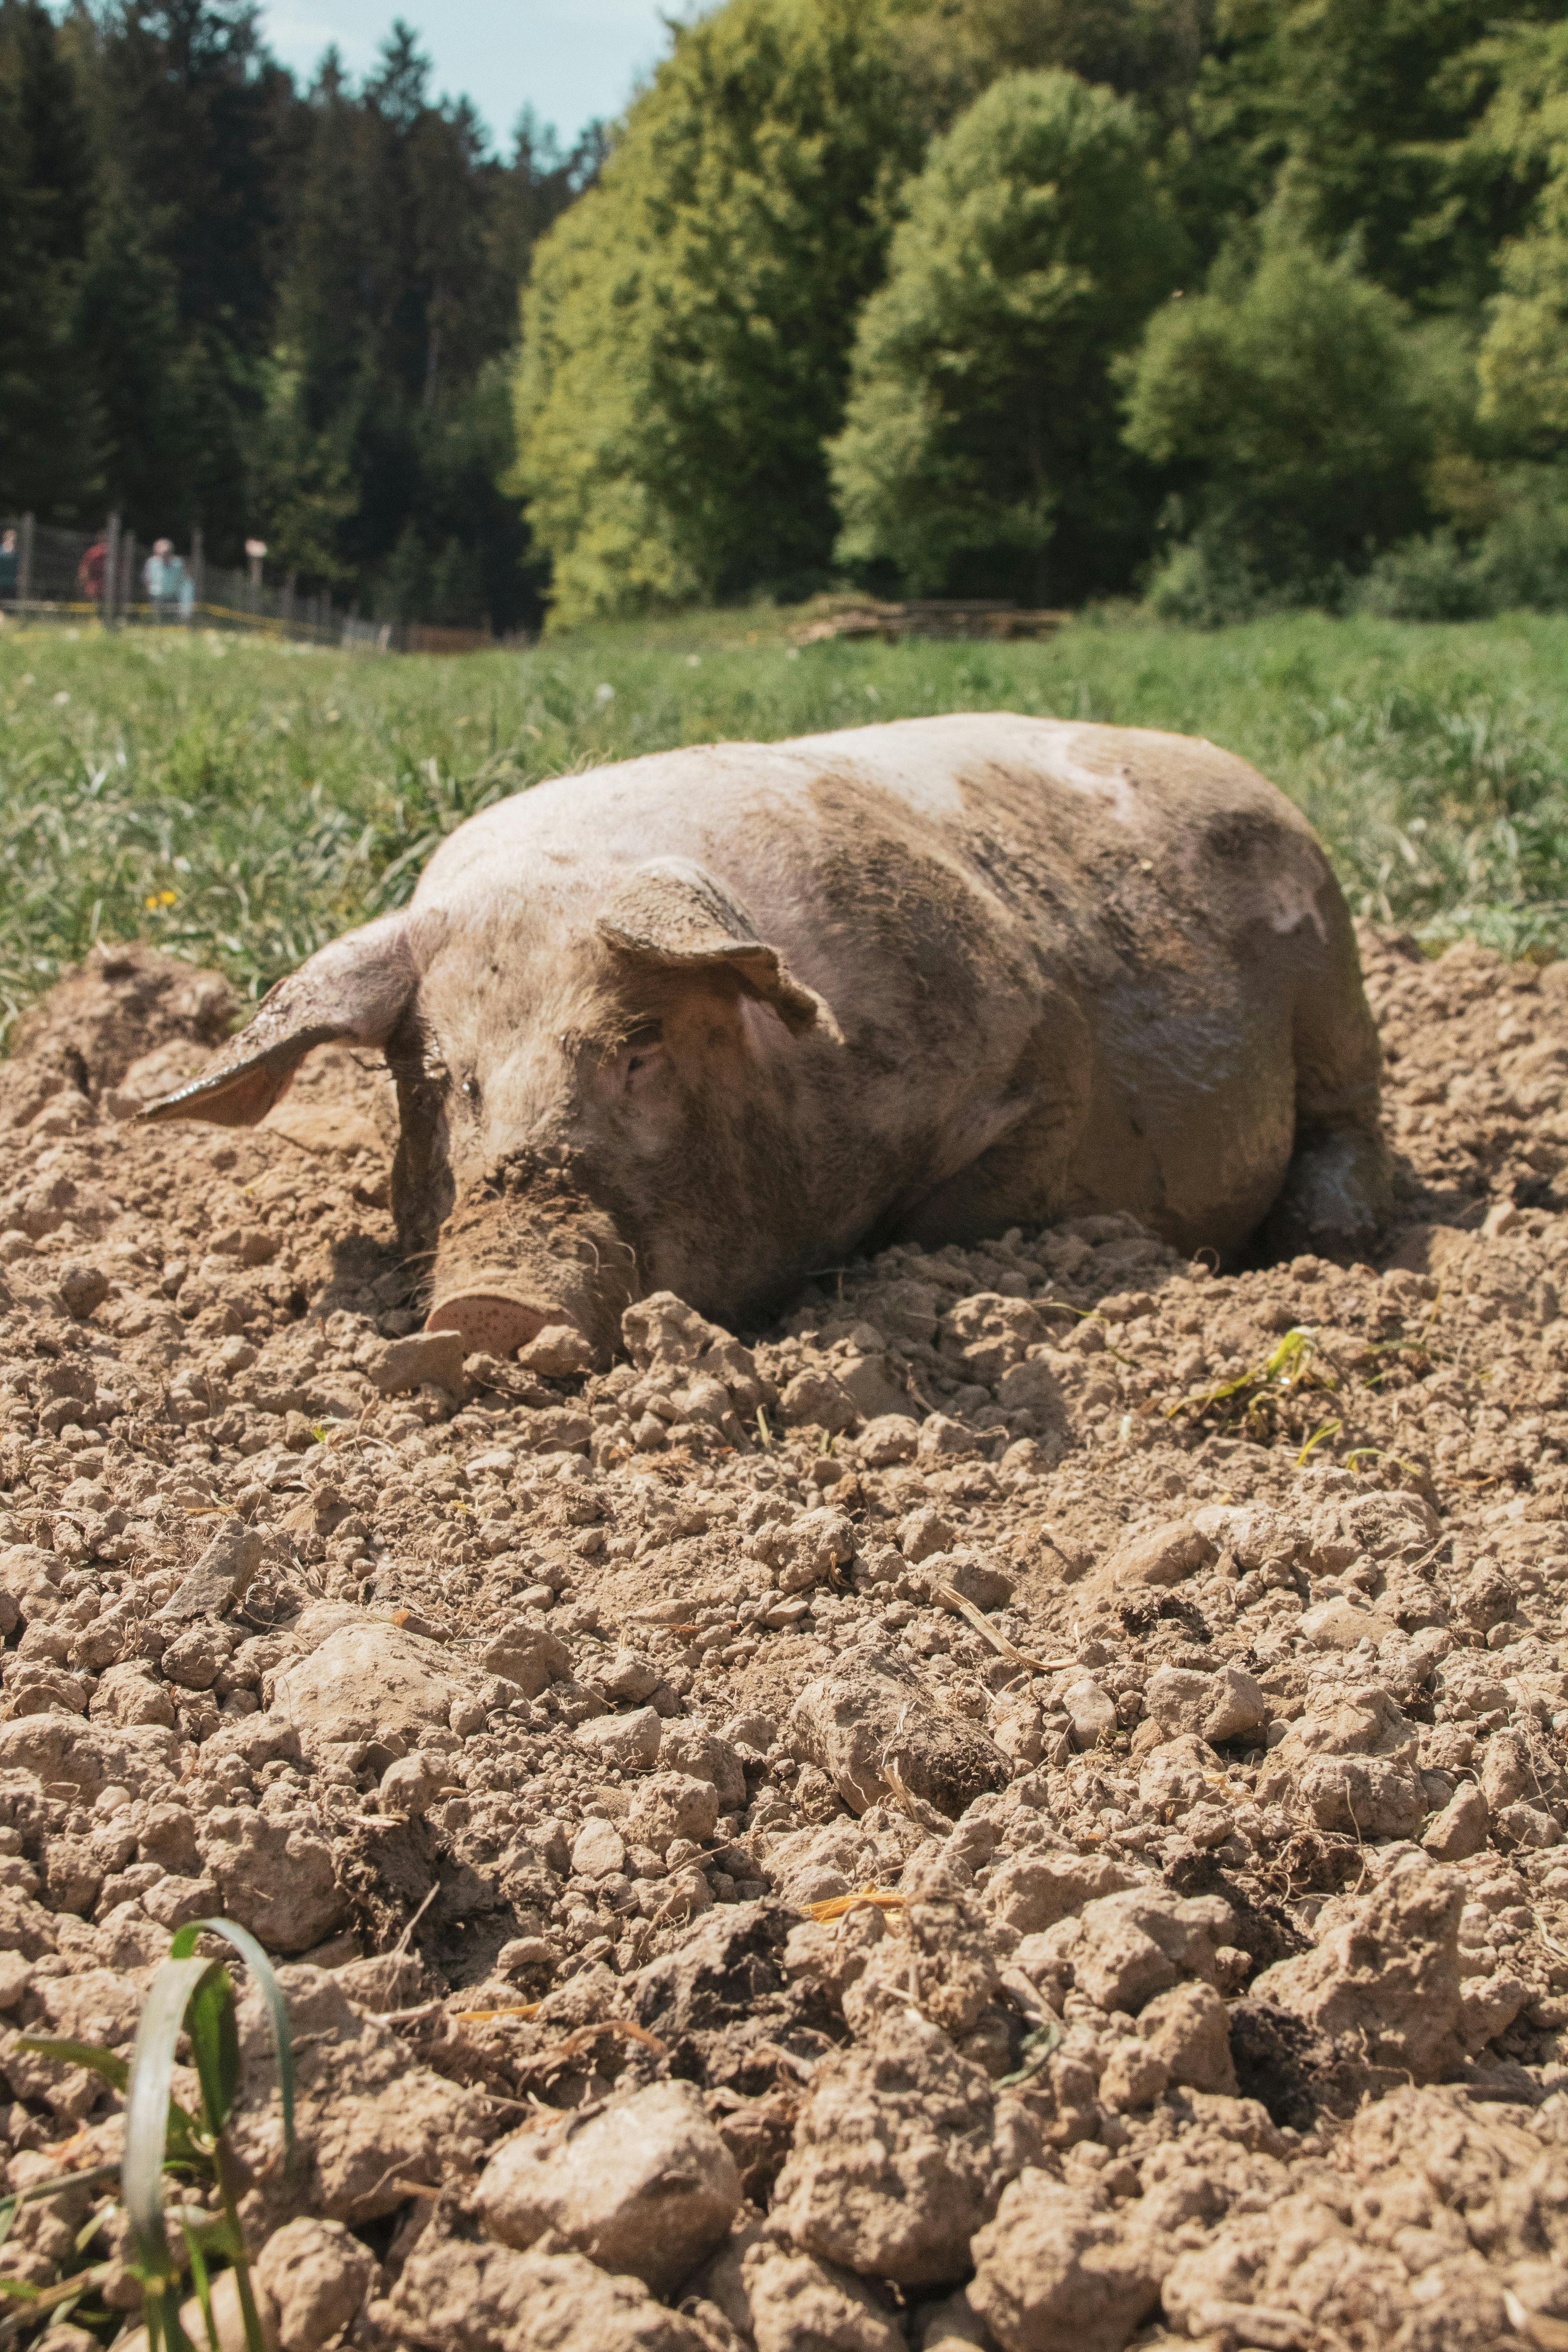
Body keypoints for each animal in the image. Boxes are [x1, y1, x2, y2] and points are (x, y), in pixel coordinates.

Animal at [141, 706, 1392, 1355]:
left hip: (1336, 981)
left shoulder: (1046, 1064)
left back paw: (1333, 1241)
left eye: (636, 1047)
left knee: (1352, 1120)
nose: (491, 1303)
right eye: (438, 1081)